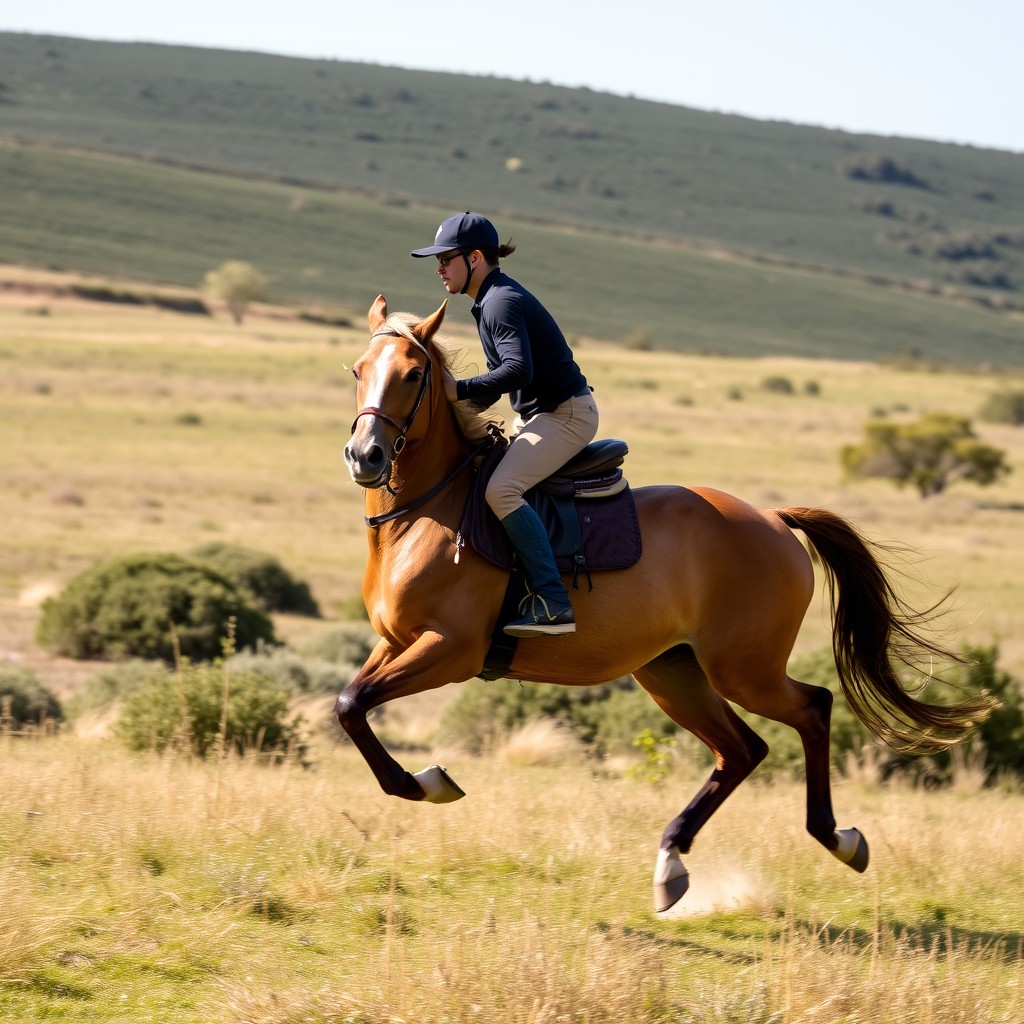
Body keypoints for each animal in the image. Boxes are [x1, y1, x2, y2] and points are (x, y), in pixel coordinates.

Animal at [339, 294, 995, 913]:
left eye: (412, 375)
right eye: (358, 369)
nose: (365, 456)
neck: (425, 511)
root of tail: (773, 519)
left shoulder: (452, 649)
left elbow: (353, 704)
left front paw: (428, 782)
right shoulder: (398, 643)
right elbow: (351, 705)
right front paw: (424, 779)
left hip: (743, 669)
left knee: (811, 709)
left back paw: (836, 838)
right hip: (672, 671)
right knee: (742, 749)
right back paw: (672, 863)